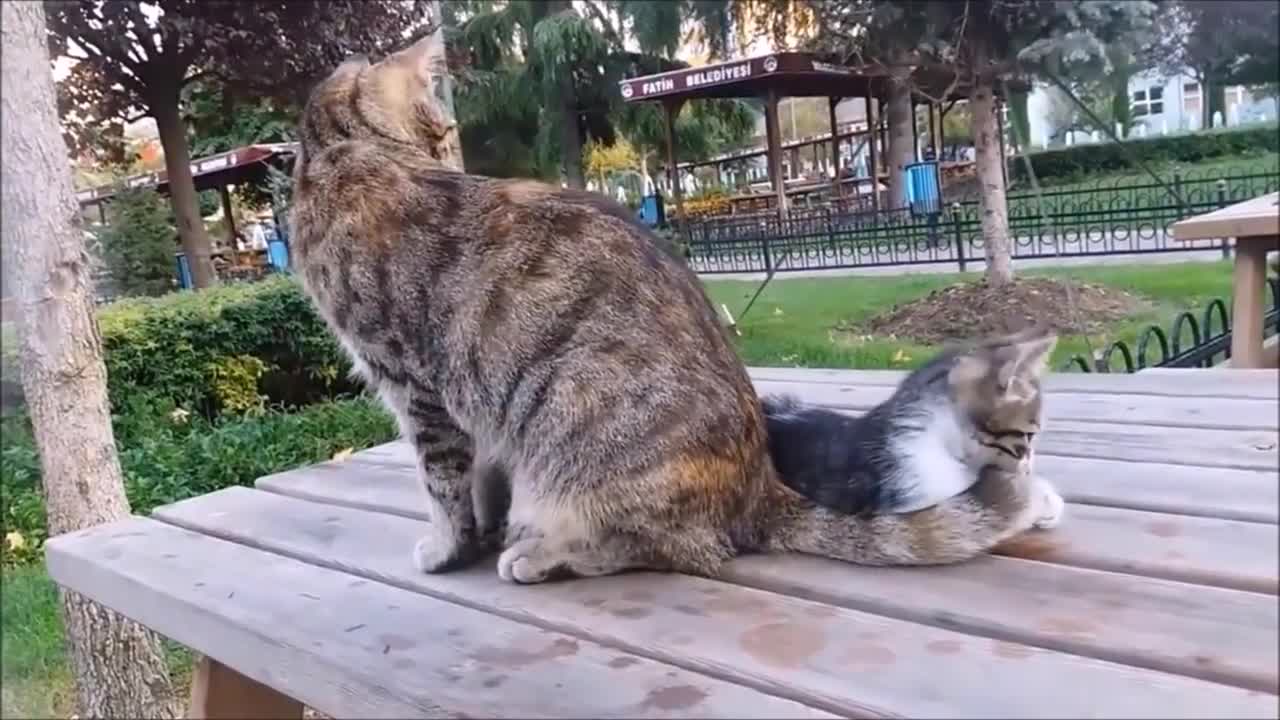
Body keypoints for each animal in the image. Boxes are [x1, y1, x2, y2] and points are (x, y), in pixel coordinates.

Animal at [290, 35, 1059, 584]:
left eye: (447, 134)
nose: (450, 148)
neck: (346, 152)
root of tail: (758, 489)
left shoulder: (415, 390)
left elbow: (444, 487)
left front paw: (450, 548)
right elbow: (476, 482)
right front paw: (475, 532)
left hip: (575, 456)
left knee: (670, 547)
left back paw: (542, 554)